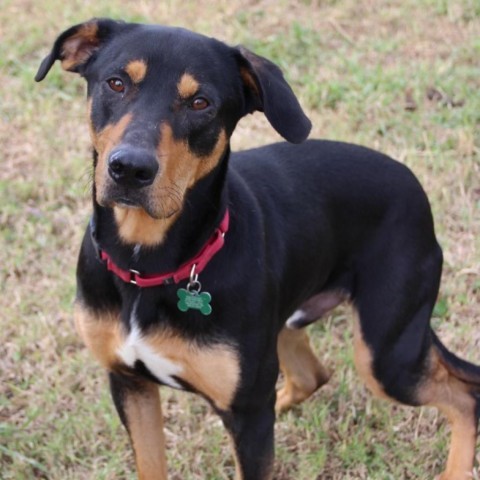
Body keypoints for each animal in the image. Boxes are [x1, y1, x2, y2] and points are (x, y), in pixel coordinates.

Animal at [37, 17, 480, 480]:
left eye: (201, 102)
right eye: (116, 83)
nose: (130, 168)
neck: (148, 264)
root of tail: (415, 188)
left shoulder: (248, 413)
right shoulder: (129, 381)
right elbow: (150, 463)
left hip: (386, 354)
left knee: (465, 397)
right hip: (297, 324)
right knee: (311, 375)